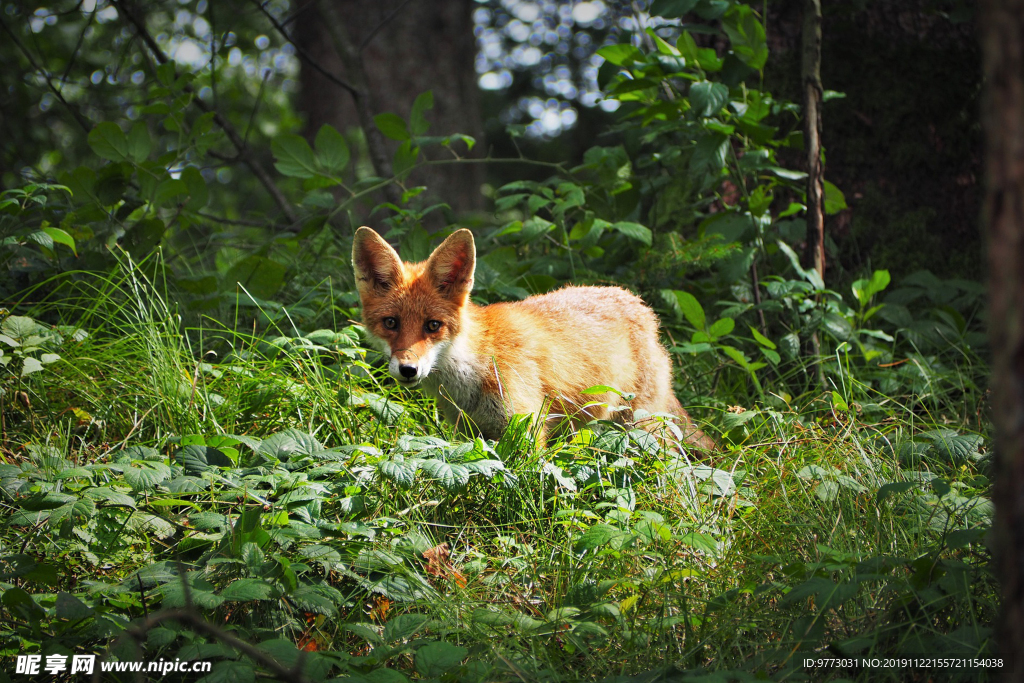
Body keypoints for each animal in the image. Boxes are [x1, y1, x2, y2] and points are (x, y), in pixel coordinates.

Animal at [352, 227, 712, 450]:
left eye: (432, 326)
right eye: (391, 323)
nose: (407, 369)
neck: (476, 365)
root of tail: (643, 308)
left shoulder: (525, 428)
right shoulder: (470, 433)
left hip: (642, 427)